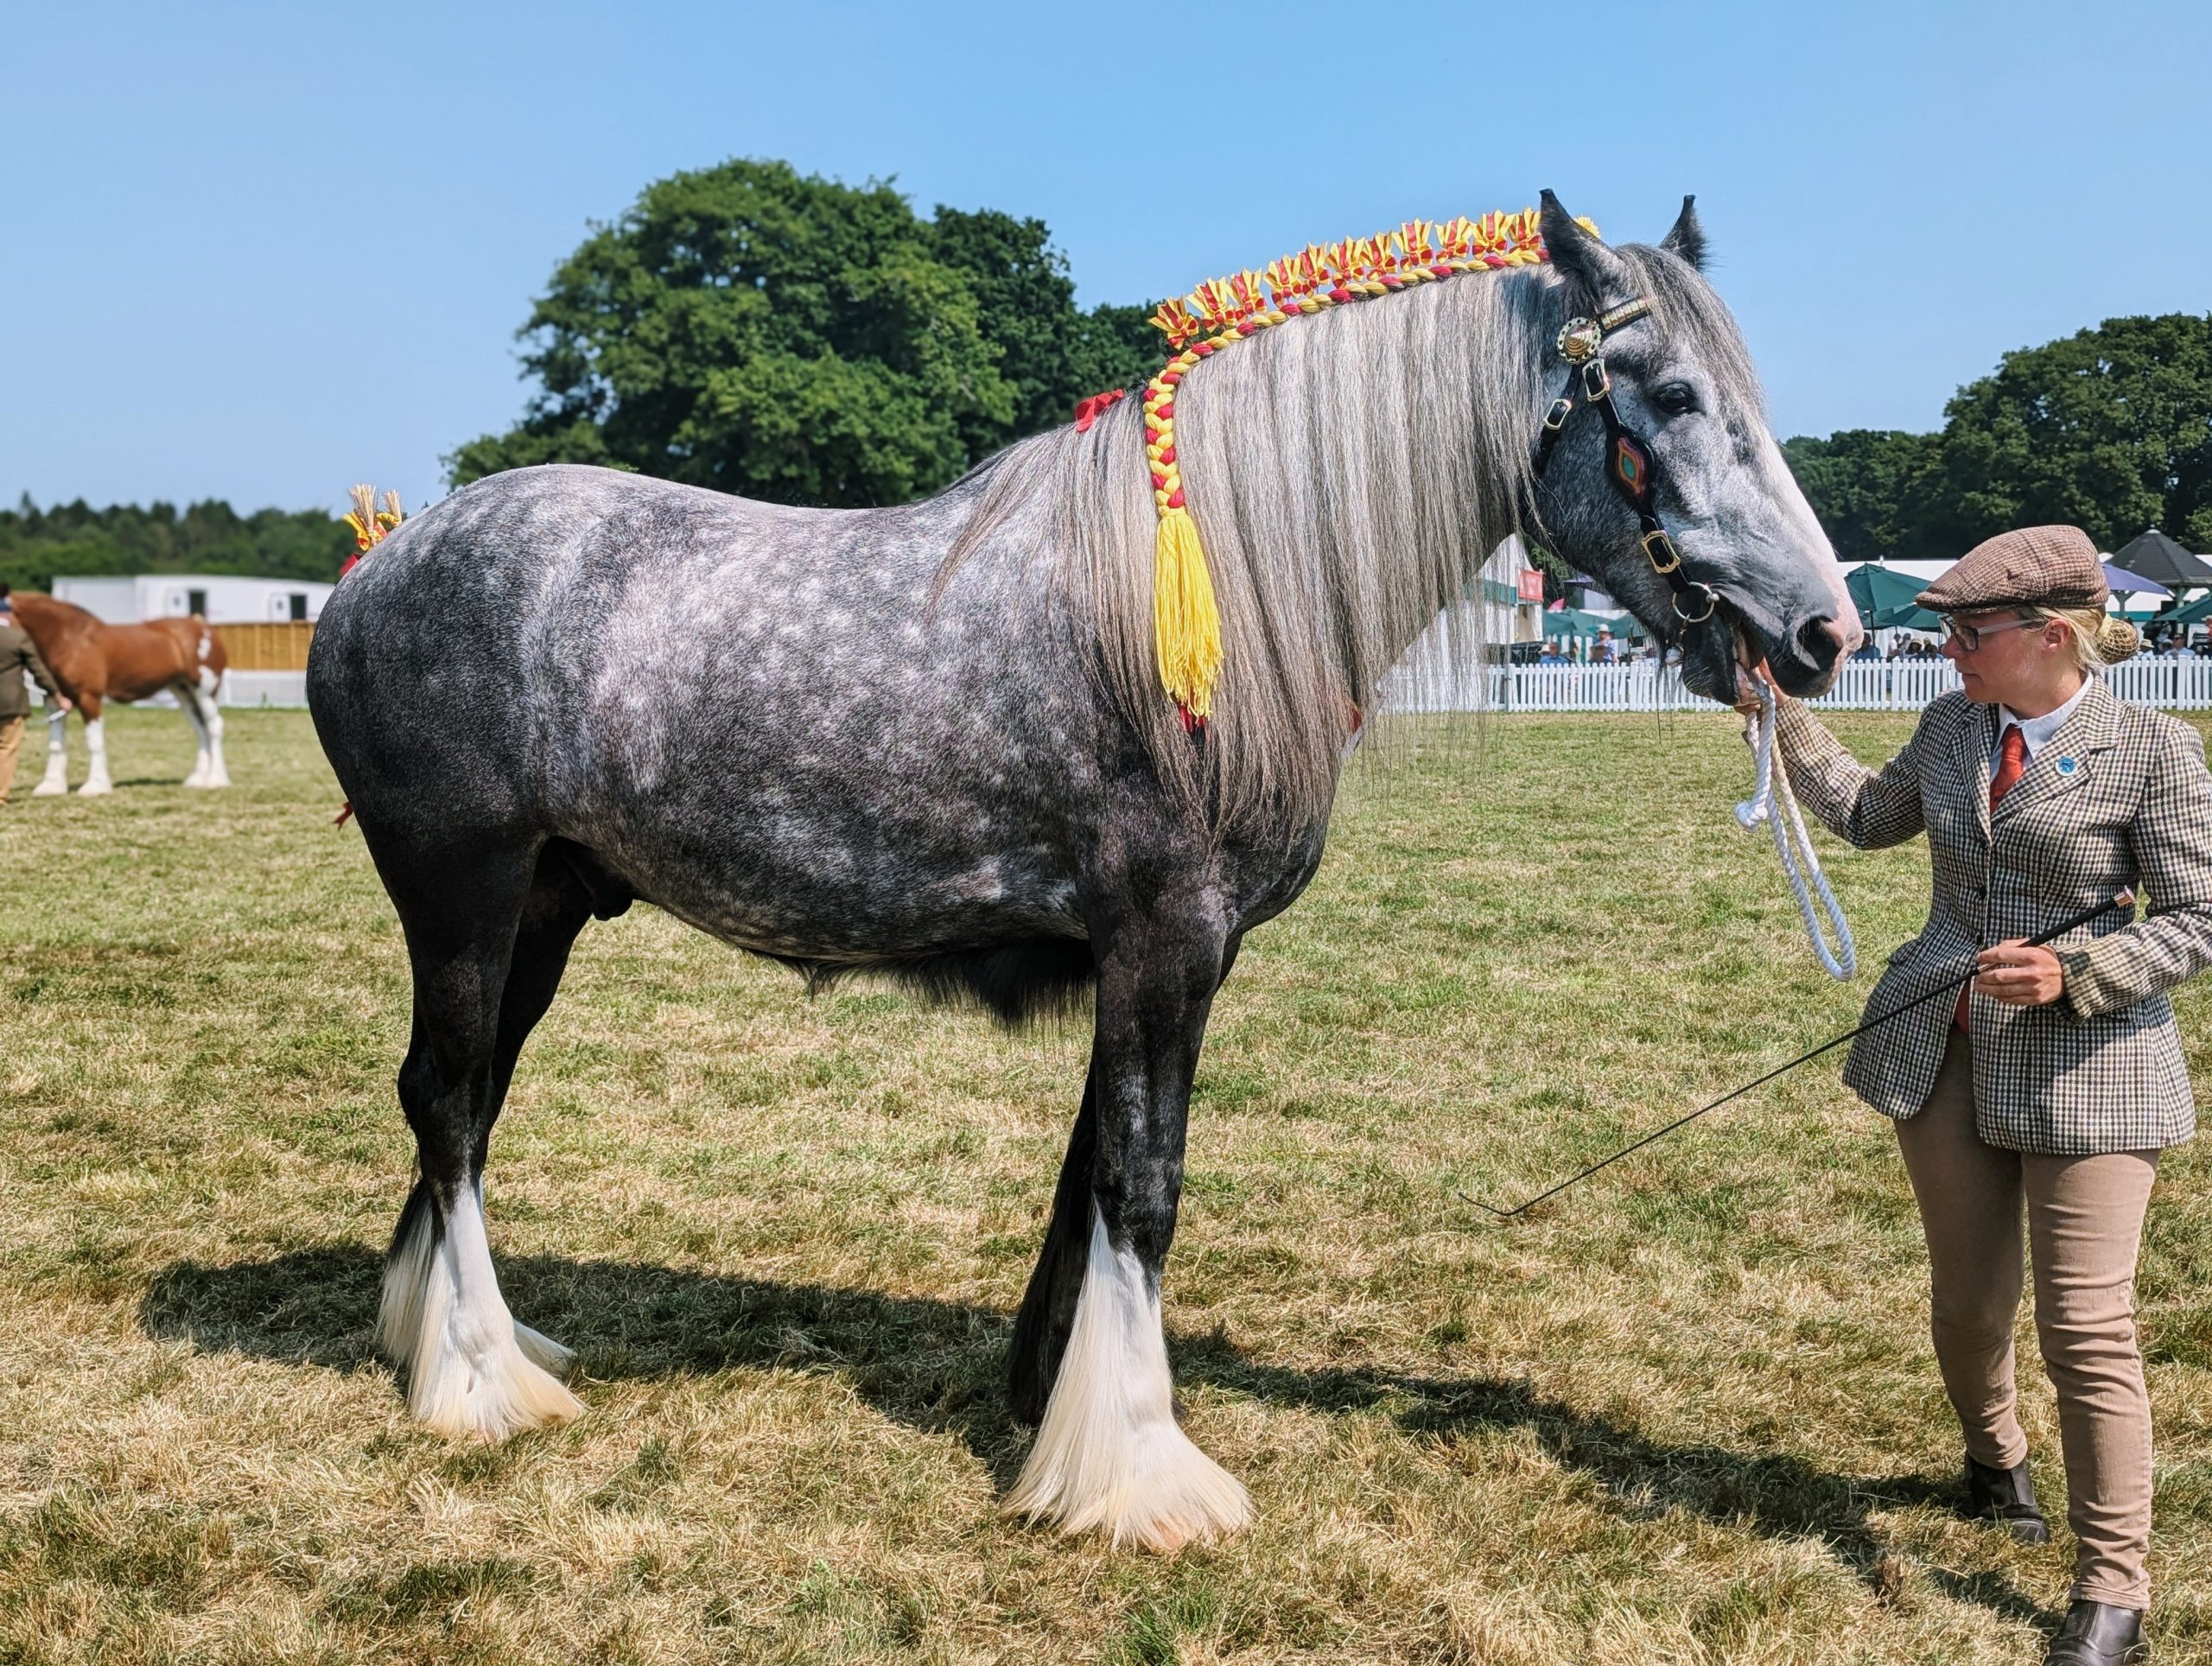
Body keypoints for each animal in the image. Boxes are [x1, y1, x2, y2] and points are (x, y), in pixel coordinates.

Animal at [11, 593, 231, 796]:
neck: (70, 641)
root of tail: (203, 626)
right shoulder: (53, 701)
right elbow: (56, 744)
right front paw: (51, 786)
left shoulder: (89, 698)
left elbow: (94, 742)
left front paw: (96, 786)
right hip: (183, 691)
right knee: (200, 728)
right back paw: (197, 779)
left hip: (205, 690)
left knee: (214, 726)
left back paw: (216, 780)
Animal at [311, 194, 1858, 1548]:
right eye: (1669, 397)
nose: (1825, 633)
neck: (1215, 590)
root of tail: (380, 566)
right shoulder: (1166, 944)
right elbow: (1144, 1182)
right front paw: (1138, 1473)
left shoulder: (1154, 960)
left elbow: (1087, 1181)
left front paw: (1049, 1399)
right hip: (461, 894)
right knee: (444, 1098)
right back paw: (478, 1382)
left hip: (545, 906)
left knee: (467, 1101)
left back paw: (452, 1336)